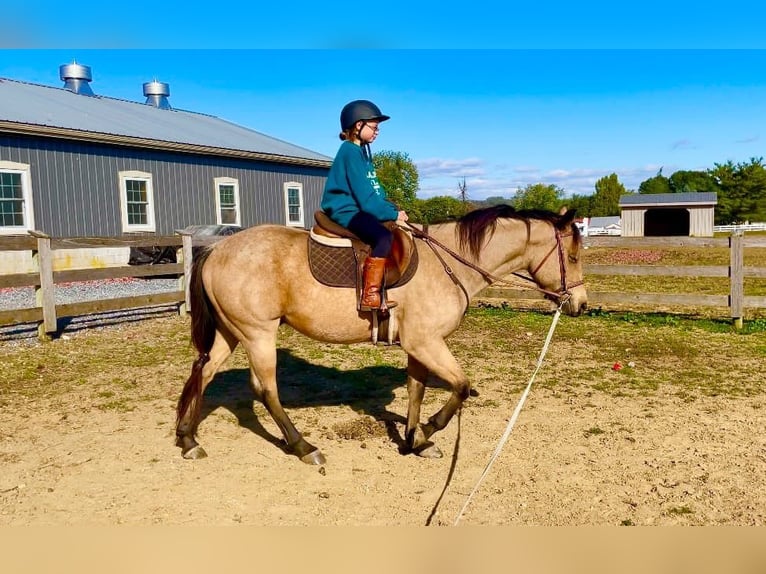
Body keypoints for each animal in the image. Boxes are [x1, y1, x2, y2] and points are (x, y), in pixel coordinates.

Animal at [177, 205, 592, 466]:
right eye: (572, 256)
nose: (581, 303)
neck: (449, 263)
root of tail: (216, 249)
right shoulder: (426, 342)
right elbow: (460, 386)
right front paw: (429, 429)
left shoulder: (419, 345)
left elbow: (416, 390)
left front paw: (416, 439)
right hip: (258, 335)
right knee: (266, 391)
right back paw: (303, 447)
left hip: (232, 333)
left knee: (204, 372)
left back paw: (188, 438)